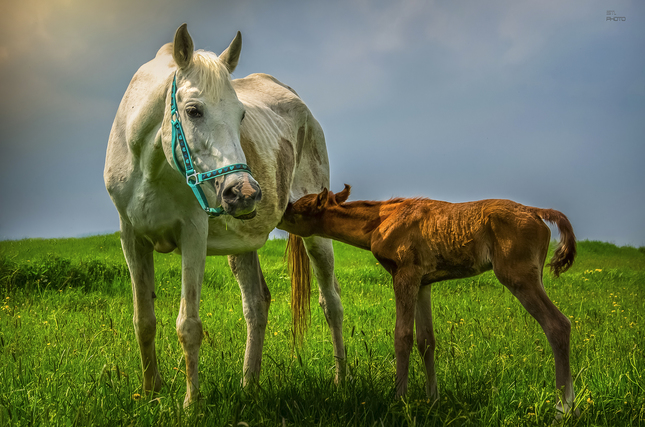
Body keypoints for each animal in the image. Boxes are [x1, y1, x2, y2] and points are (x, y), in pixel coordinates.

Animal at [104, 25, 348, 406]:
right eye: (193, 111)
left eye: (241, 115)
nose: (243, 192)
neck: (149, 166)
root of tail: (302, 106)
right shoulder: (132, 238)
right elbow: (143, 320)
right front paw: (151, 392)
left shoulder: (193, 235)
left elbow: (188, 324)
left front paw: (191, 404)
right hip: (242, 244)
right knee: (256, 305)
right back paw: (249, 384)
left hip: (316, 235)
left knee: (331, 302)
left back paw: (341, 380)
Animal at [280, 185, 576, 418]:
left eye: (298, 208)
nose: (281, 211)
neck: (379, 222)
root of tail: (537, 212)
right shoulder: (424, 282)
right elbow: (426, 340)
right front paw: (432, 398)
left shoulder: (405, 274)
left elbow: (403, 336)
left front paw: (399, 398)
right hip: (531, 275)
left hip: (518, 275)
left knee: (557, 324)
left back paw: (564, 408)